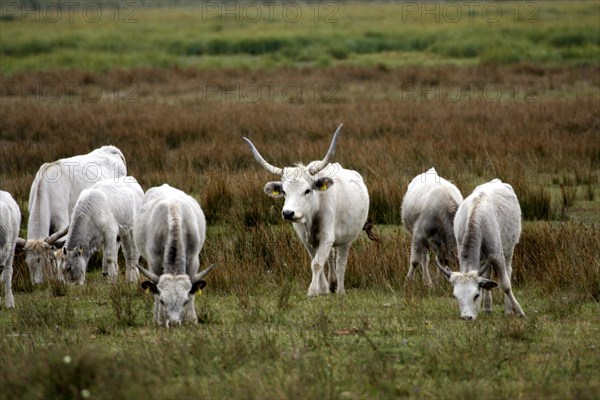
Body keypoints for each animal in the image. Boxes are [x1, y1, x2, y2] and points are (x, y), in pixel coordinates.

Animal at [134, 184, 216, 328]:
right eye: (163, 301)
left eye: (185, 301)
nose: (173, 323)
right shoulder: (154, 262)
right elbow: (155, 292)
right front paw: (160, 319)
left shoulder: (193, 260)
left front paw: (191, 318)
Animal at [241, 125, 372, 296]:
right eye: (284, 192)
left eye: (307, 190)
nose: (288, 213)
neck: (311, 216)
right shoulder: (307, 239)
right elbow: (316, 261)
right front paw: (322, 289)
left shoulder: (327, 236)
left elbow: (316, 263)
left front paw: (312, 290)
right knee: (331, 259)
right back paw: (332, 284)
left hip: (347, 238)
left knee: (340, 262)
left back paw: (340, 290)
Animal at [436, 180, 524, 320]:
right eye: (455, 296)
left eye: (476, 295)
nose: (467, 317)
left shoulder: (497, 254)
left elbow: (505, 285)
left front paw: (519, 311)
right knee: (487, 275)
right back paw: (488, 307)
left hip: (509, 248)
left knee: (508, 271)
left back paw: (508, 308)